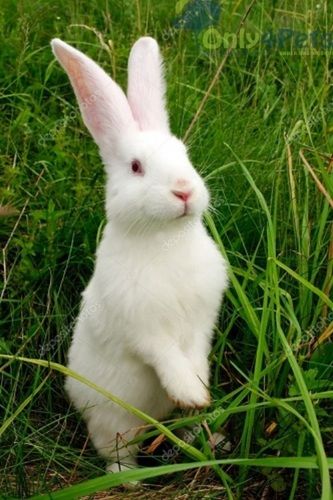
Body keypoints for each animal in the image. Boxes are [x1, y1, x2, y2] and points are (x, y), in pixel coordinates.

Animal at [51, 36, 228, 472]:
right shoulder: (143, 329)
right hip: (114, 421)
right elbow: (166, 356)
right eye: (136, 167)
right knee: (117, 451)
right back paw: (128, 479)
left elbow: (194, 352)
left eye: (185, 154)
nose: (184, 190)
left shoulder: (201, 320)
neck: (165, 238)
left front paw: (200, 393)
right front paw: (191, 392)